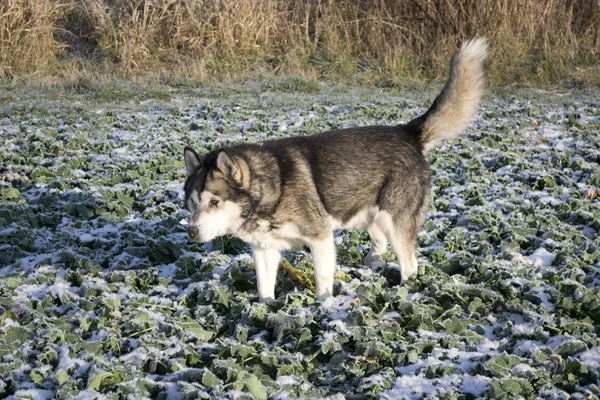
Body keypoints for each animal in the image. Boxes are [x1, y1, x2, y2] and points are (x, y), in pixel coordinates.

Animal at [183, 39, 488, 302]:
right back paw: (370, 267)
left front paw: (325, 308)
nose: (192, 233)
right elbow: (264, 290)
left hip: (395, 221)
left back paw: (401, 292)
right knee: (380, 245)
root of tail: (407, 132)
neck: (269, 189)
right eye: (193, 204)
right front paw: (265, 310)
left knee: (410, 264)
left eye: (214, 202)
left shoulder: (320, 238)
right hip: (368, 217)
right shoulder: (265, 250)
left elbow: (322, 281)